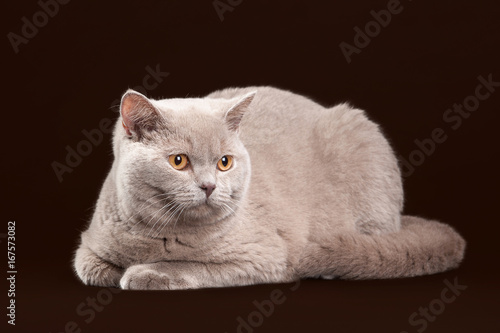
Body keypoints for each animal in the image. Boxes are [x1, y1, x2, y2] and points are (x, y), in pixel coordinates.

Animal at [73, 85, 464, 288]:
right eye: (179, 161)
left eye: (224, 162)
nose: (209, 186)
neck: (157, 235)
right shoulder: (88, 248)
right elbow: (92, 268)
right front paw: (121, 271)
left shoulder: (262, 257)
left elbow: (190, 265)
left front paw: (145, 273)